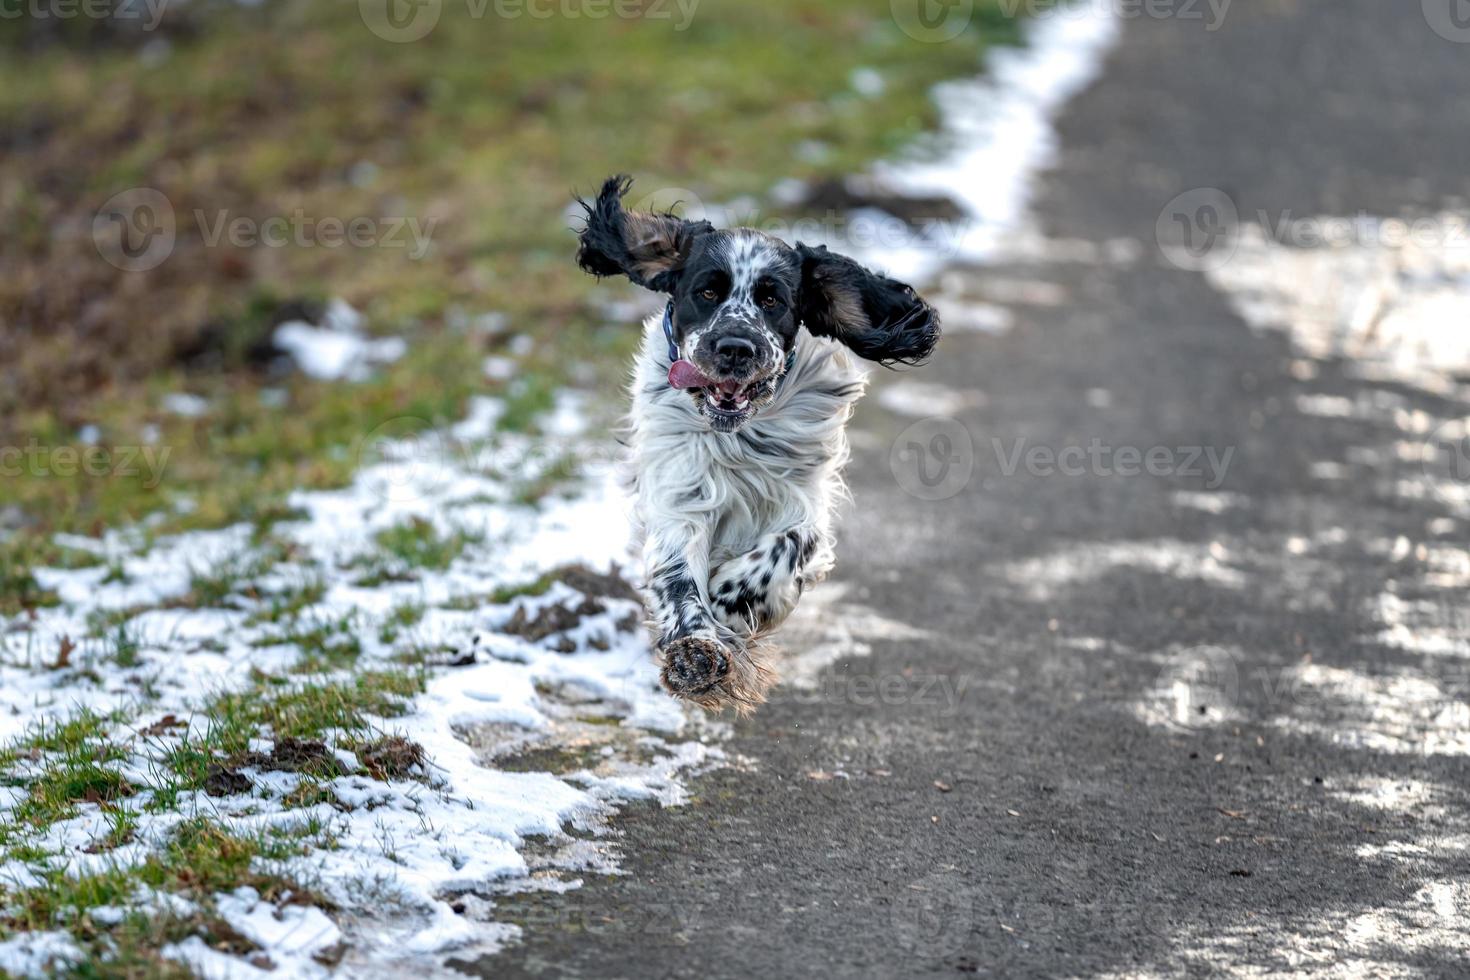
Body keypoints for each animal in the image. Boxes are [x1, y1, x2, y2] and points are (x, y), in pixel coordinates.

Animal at [576, 176, 940, 714]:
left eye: (774, 301)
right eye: (707, 291)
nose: (735, 348)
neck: (738, 436)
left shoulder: (804, 498)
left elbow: (789, 545)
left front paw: (730, 600)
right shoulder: (681, 496)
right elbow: (679, 580)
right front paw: (698, 653)